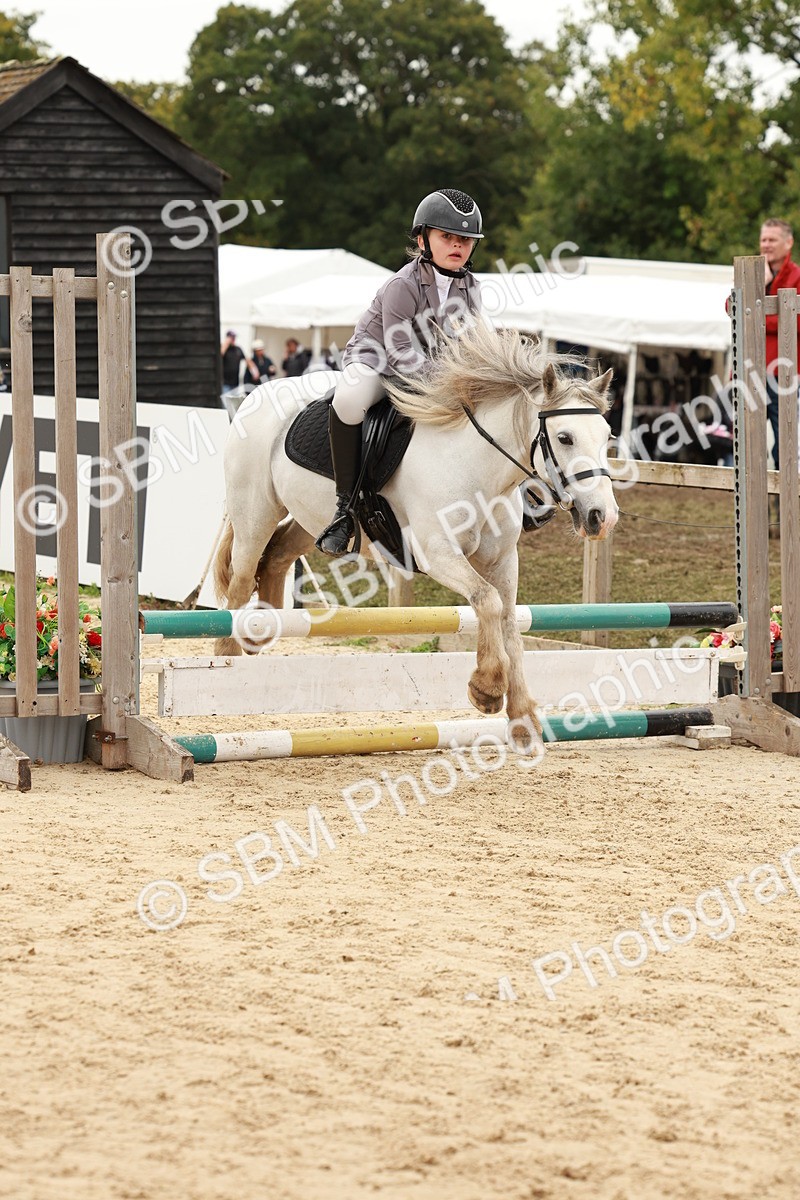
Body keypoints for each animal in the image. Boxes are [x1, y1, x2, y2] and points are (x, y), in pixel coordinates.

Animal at [213, 322, 618, 753]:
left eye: (608, 435)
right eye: (565, 438)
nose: (602, 517)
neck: (475, 466)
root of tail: (257, 394)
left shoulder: (502, 560)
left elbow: (510, 622)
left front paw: (523, 719)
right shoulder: (437, 553)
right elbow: (487, 601)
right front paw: (487, 689)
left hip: (309, 521)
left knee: (275, 557)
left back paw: (260, 635)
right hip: (255, 513)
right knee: (241, 580)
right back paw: (227, 657)